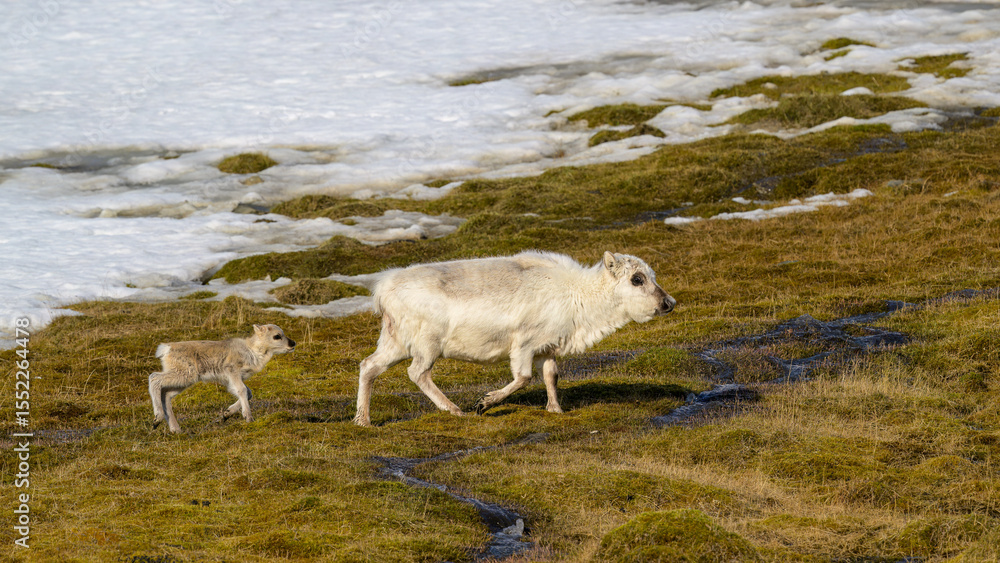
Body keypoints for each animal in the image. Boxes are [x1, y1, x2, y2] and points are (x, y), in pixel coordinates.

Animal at [353, 250, 675, 426]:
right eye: (636, 279)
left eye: (652, 275)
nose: (669, 303)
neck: (578, 294)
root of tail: (382, 290)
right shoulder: (524, 344)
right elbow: (523, 377)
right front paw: (484, 403)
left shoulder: (548, 347)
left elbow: (551, 376)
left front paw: (556, 409)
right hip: (427, 344)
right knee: (417, 372)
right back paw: (456, 410)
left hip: (394, 341)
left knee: (369, 366)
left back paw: (363, 420)